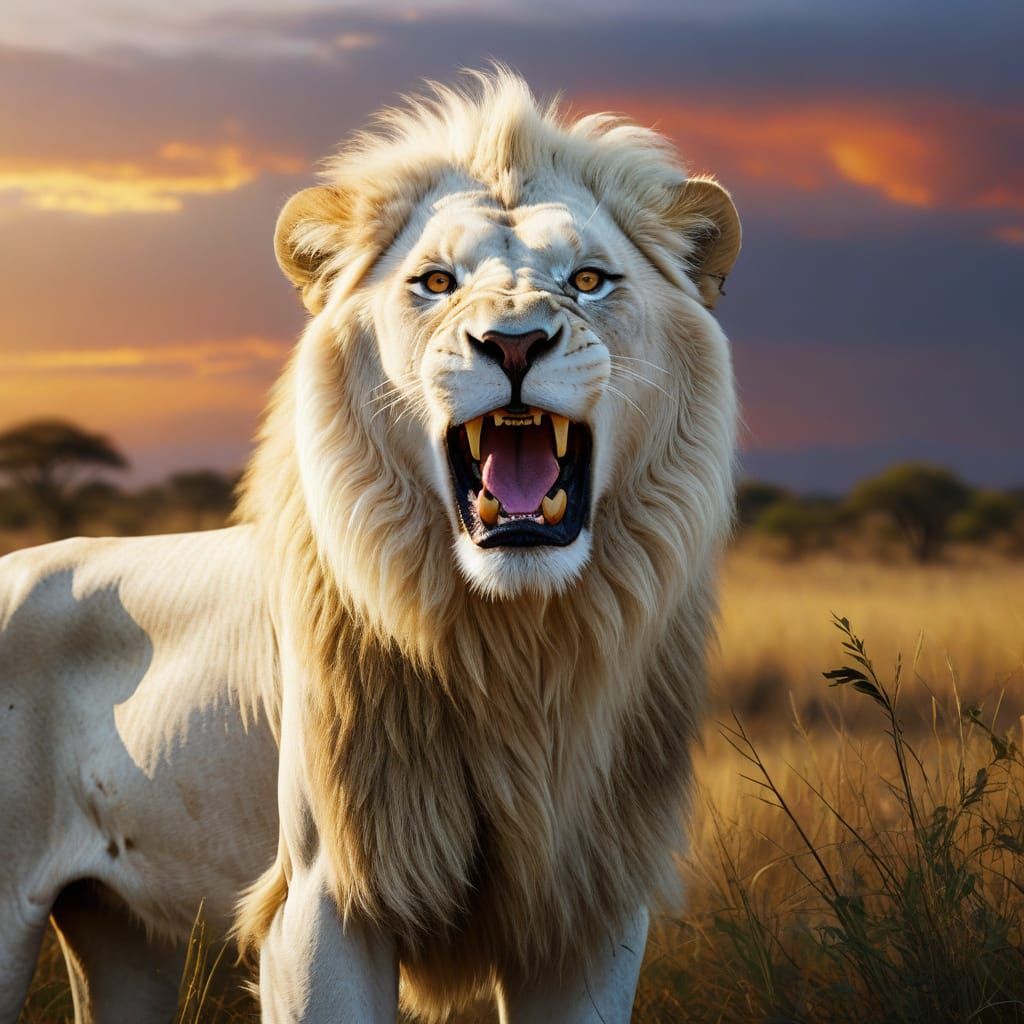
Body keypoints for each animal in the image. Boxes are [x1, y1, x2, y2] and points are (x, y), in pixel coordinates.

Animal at [0, 71, 739, 1023]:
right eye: (435, 281)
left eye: (587, 279)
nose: (513, 342)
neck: (516, 647)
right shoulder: (321, 899)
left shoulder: (588, 908)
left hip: (123, 932)